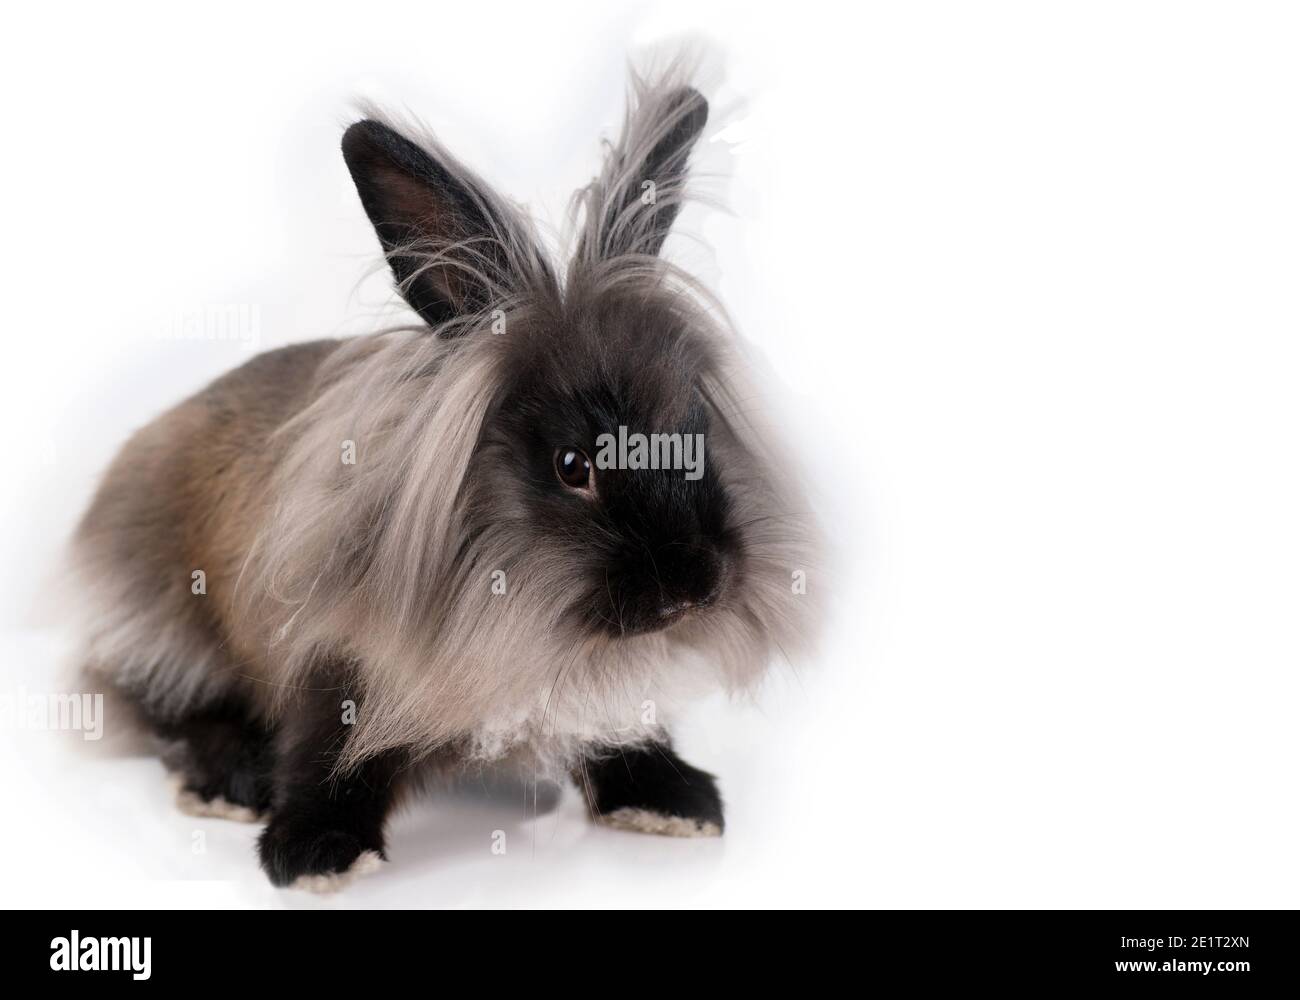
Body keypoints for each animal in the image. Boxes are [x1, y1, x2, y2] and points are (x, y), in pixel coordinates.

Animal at [72, 65, 821, 889]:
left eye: (694, 435)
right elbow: (327, 750)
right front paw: (315, 852)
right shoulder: (334, 659)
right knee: (164, 708)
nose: (695, 585)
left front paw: (676, 802)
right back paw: (230, 783)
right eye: (573, 467)